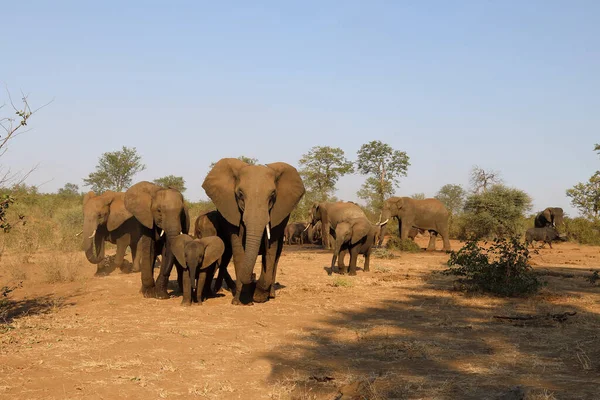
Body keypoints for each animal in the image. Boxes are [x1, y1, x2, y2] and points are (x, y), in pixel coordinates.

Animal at [203, 158, 304, 304]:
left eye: (273, 195)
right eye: (240, 194)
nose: (253, 276)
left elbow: (271, 250)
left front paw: (259, 297)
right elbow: (239, 249)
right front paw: (241, 301)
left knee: (277, 255)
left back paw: (271, 295)